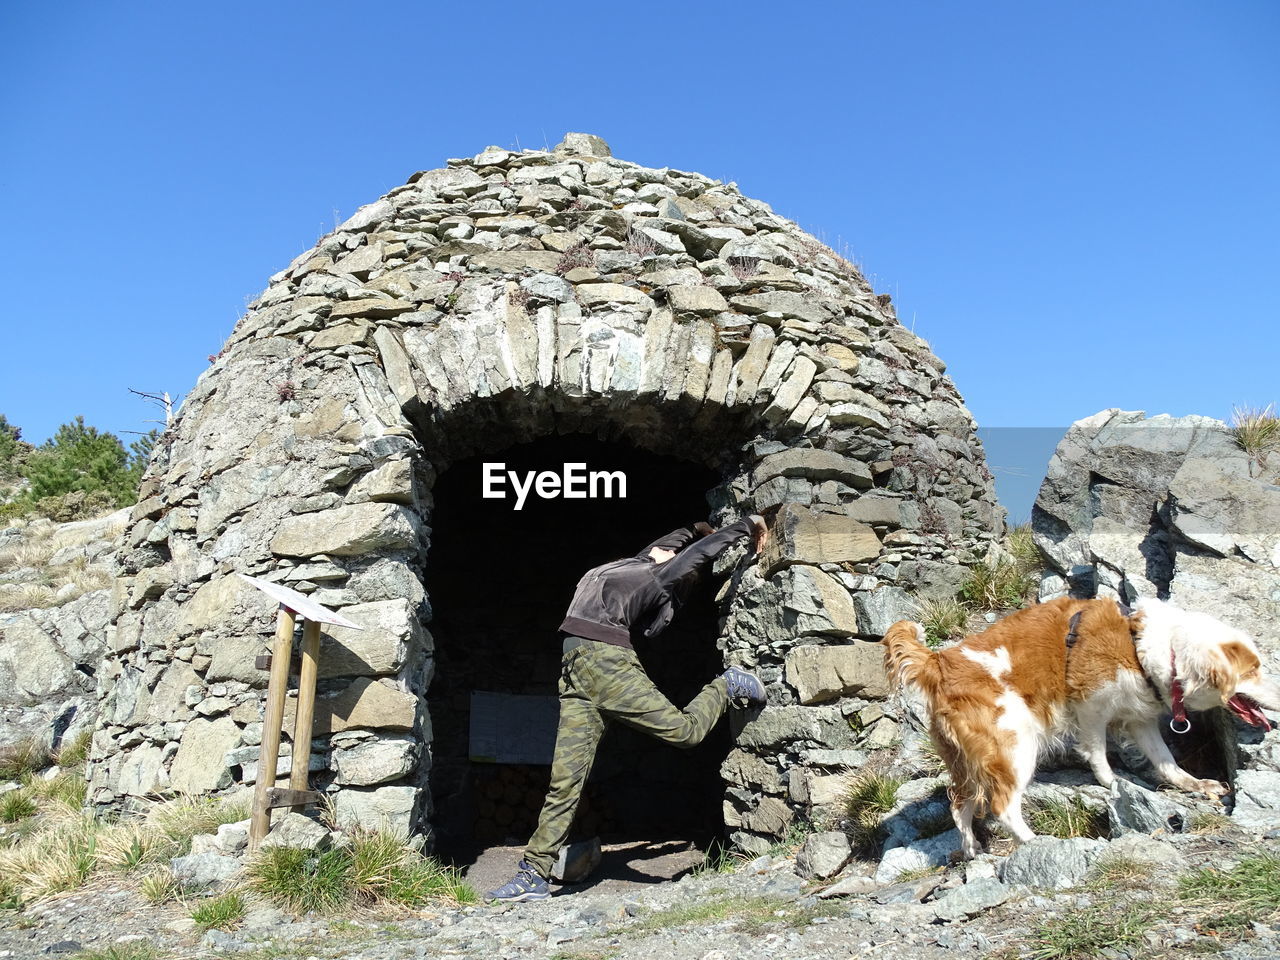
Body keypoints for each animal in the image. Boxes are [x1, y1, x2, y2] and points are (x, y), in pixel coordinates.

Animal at [885, 599, 1274, 860]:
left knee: (958, 803)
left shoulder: (1141, 719)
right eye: (1253, 670)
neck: (1144, 646)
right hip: (1015, 745)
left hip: (966, 760)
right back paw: (1035, 842)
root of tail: (937, 663)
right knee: (1002, 804)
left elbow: (1167, 762)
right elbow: (1098, 752)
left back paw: (971, 848)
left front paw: (1197, 784)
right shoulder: (1091, 706)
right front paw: (1112, 782)